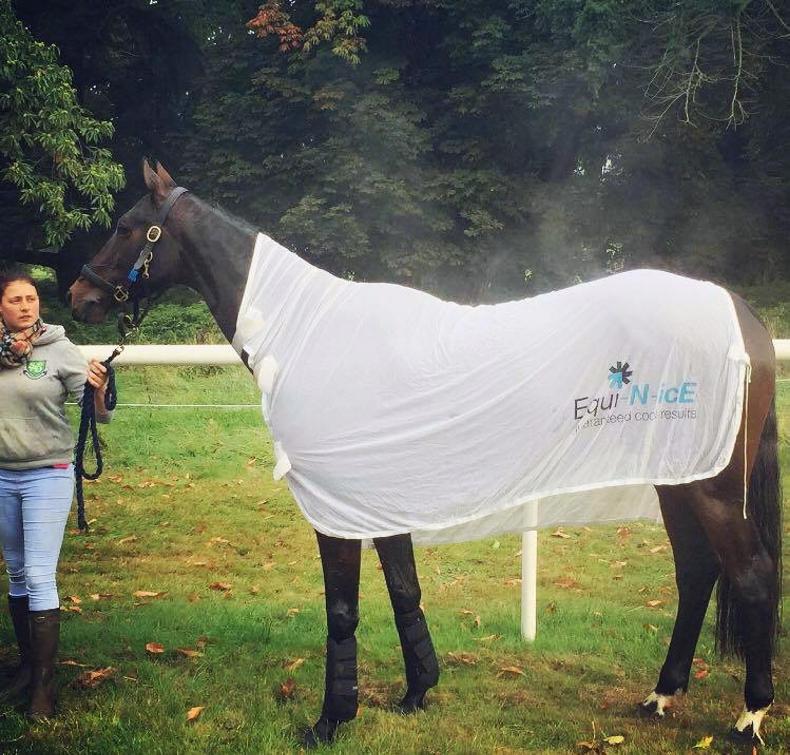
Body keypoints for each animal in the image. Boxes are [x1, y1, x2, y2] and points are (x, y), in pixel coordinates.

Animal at [68, 161, 782, 748]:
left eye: (127, 227)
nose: (80, 296)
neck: (310, 336)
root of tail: (742, 314)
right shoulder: (378, 500)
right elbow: (404, 589)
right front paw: (417, 692)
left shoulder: (337, 510)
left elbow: (343, 610)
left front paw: (331, 720)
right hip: (677, 478)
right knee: (697, 573)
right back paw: (660, 696)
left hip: (714, 488)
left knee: (751, 575)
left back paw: (748, 718)